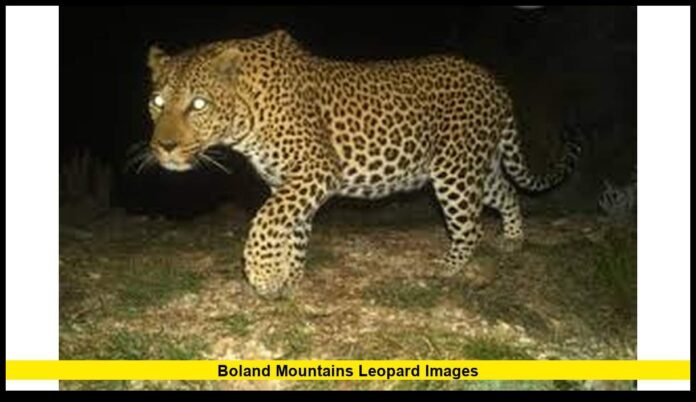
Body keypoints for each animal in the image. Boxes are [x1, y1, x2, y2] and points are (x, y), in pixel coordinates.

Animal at [142, 29, 580, 298]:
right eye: (157, 103)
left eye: (199, 105)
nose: (164, 147)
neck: (248, 117)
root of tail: (494, 82)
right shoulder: (289, 183)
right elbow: (293, 232)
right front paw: (289, 279)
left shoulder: (316, 169)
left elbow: (266, 221)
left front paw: (263, 275)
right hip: (476, 166)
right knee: (506, 191)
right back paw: (513, 239)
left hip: (454, 172)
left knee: (470, 226)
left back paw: (447, 269)